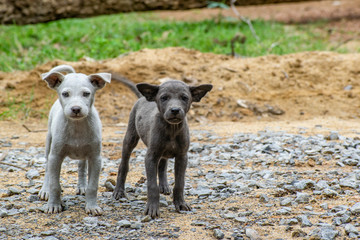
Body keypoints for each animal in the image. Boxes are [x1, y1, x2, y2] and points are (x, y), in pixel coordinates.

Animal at [113, 79, 211, 218]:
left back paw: (164, 186)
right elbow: (152, 185)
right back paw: (119, 191)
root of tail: (143, 97)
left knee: (162, 165)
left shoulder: (182, 156)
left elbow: (179, 183)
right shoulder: (150, 157)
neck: (172, 129)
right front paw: (152, 209)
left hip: (163, 152)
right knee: (124, 165)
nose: (175, 110)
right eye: (164, 98)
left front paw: (180, 204)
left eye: (184, 98)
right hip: (130, 138)